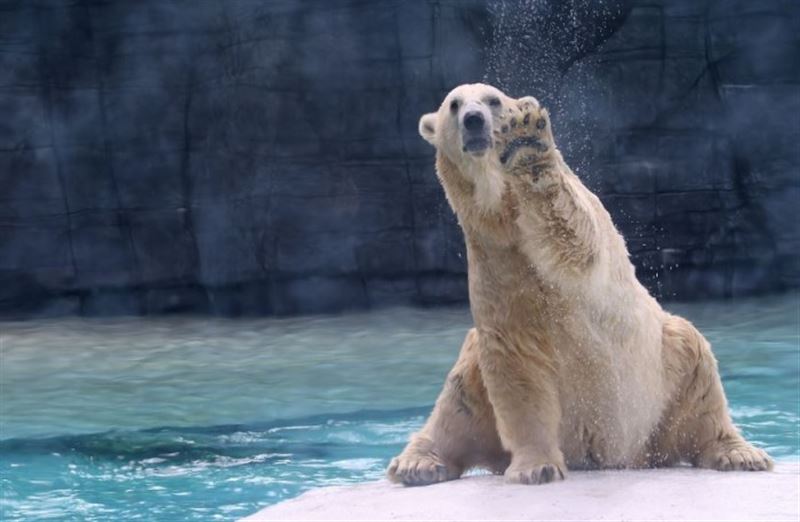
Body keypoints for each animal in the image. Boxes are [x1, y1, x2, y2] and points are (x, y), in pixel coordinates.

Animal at [388, 81, 776, 484]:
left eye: (493, 100)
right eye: (454, 105)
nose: (474, 120)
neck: (505, 216)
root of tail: (627, 456)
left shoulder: (569, 229)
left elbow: (574, 237)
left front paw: (526, 139)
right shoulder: (496, 261)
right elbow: (516, 361)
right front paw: (536, 468)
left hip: (664, 371)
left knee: (696, 373)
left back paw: (738, 453)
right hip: (478, 373)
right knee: (459, 395)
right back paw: (417, 463)